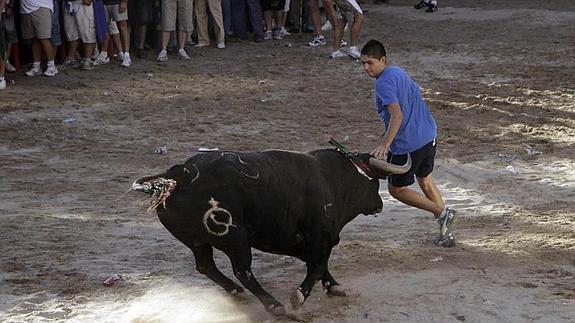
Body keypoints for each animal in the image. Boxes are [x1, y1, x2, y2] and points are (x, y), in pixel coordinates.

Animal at [132, 150, 410, 316]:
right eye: (374, 181)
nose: (379, 204)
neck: (332, 178)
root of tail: (178, 173)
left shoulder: (301, 242)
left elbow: (319, 264)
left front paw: (334, 286)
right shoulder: (319, 237)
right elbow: (317, 265)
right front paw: (299, 297)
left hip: (197, 240)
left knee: (206, 265)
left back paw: (236, 292)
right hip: (235, 238)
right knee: (242, 271)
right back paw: (273, 304)